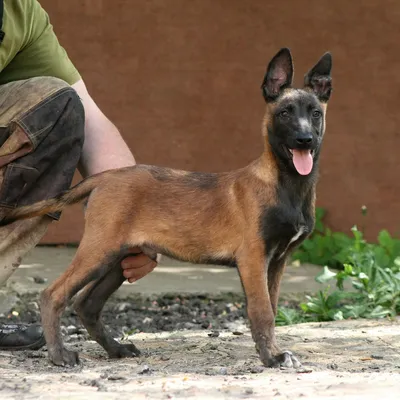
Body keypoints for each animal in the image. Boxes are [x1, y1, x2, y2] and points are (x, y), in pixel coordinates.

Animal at [0, 48, 332, 370]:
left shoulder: (278, 260)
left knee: (87, 304)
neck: (287, 184)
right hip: (99, 249)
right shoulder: (253, 257)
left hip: (121, 255)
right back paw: (59, 355)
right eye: (285, 112)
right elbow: (262, 311)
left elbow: (272, 309)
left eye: (315, 113)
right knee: (54, 294)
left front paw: (272, 353)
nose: (305, 139)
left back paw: (116, 349)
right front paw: (273, 357)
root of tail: (108, 176)